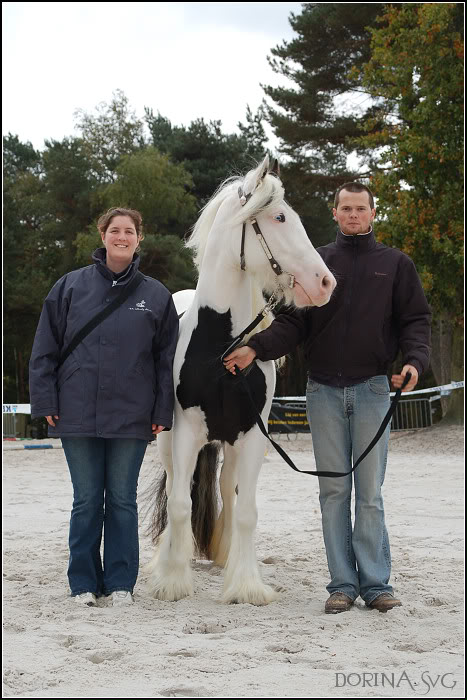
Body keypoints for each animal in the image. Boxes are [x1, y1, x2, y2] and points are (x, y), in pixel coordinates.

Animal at [146, 156, 336, 604]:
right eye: (279, 217)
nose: (324, 283)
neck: (220, 347)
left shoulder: (250, 436)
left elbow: (247, 511)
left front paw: (246, 585)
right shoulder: (185, 432)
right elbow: (179, 504)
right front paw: (172, 580)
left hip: (230, 446)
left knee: (229, 492)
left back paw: (224, 555)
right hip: (168, 442)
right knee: (177, 489)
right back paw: (169, 555)